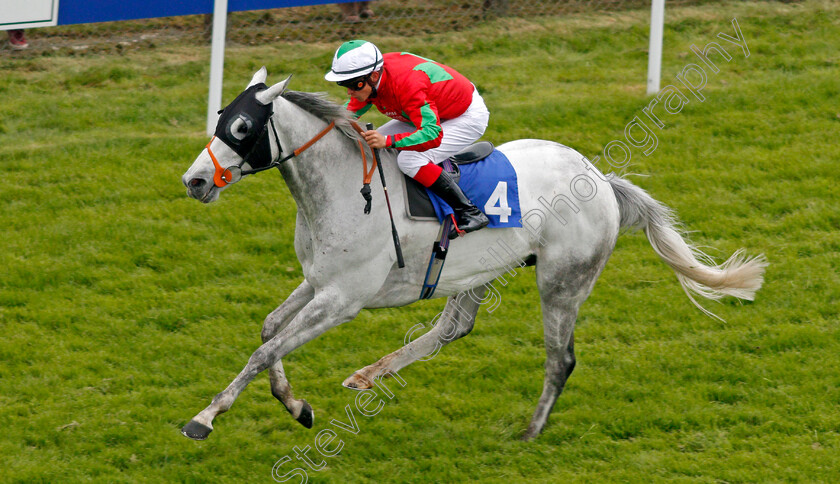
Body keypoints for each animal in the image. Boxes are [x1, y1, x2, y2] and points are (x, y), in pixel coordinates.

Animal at [179, 69, 768, 442]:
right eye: (219, 117)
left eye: (241, 128)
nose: (195, 181)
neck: (344, 187)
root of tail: (601, 178)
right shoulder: (317, 282)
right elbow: (269, 330)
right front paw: (296, 405)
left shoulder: (343, 298)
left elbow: (266, 348)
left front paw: (205, 417)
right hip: (479, 269)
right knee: (453, 328)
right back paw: (370, 374)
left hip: (562, 282)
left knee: (560, 359)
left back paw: (530, 431)